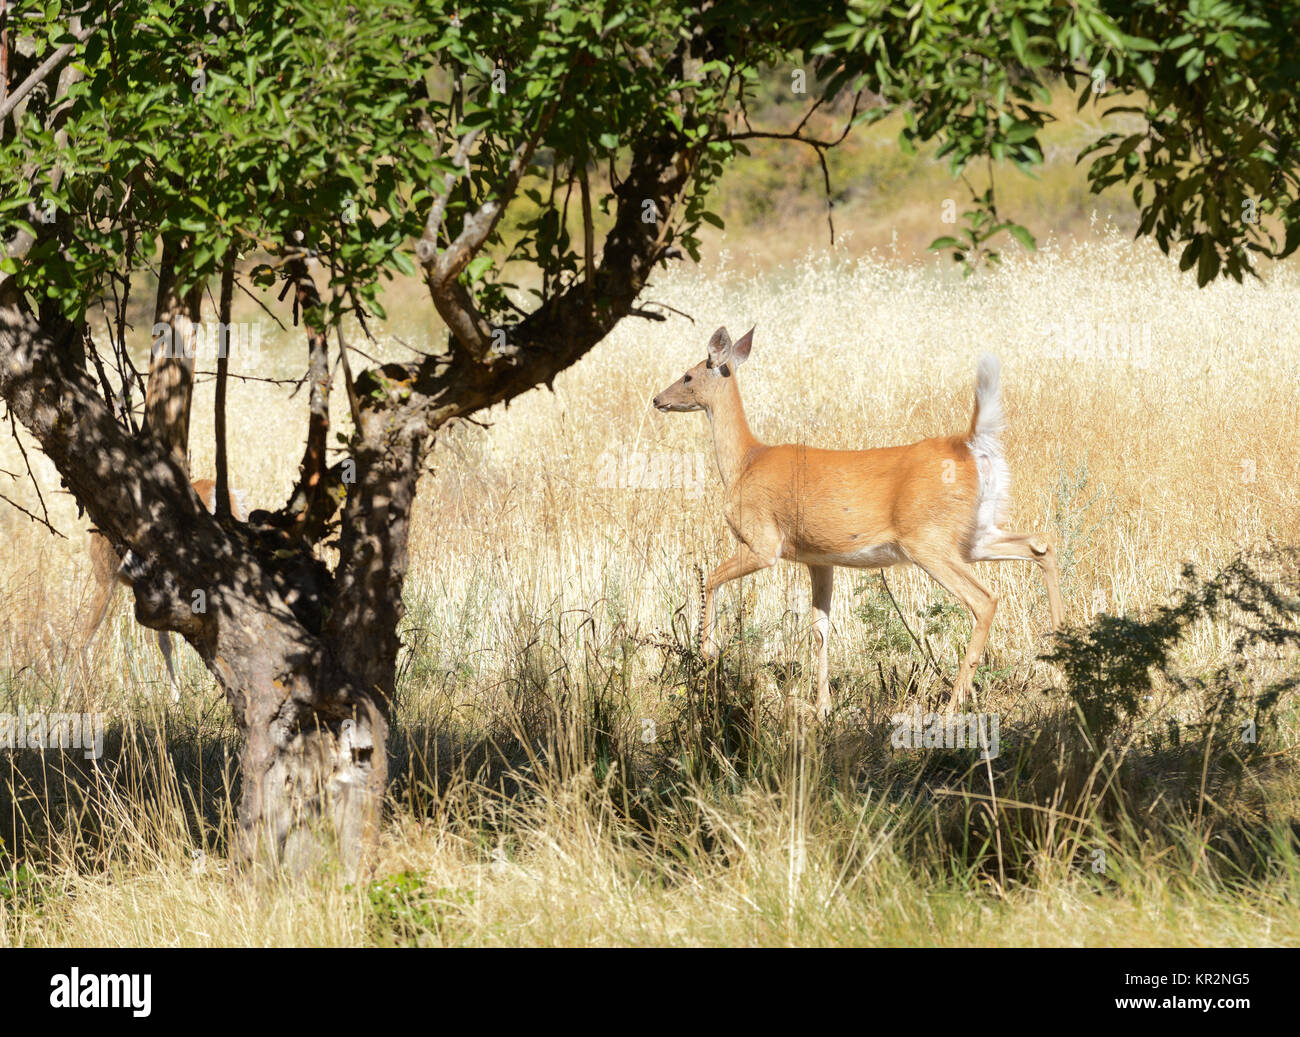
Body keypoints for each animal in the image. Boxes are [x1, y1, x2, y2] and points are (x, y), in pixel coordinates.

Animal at [655, 328, 1060, 717]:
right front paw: (823, 708)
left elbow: (710, 578)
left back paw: (951, 707)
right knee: (1040, 544)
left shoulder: (763, 541)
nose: (658, 399)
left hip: (928, 540)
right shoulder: (819, 558)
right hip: (974, 535)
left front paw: (707, 653)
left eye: (688, 374)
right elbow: (820, 629)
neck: (745, 462)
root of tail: (970, 444)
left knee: (985, 598)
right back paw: (1063, 657)